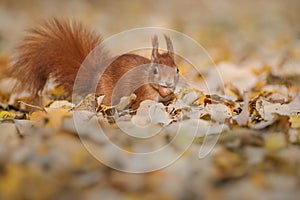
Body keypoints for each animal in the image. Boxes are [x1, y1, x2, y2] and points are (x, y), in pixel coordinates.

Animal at [10, 18, 179, 109]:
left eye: (177, 69)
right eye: (155, 70)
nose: (169, 83)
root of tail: (94, 77)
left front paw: (171, 94)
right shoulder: (143, 93)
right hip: (106, 92)